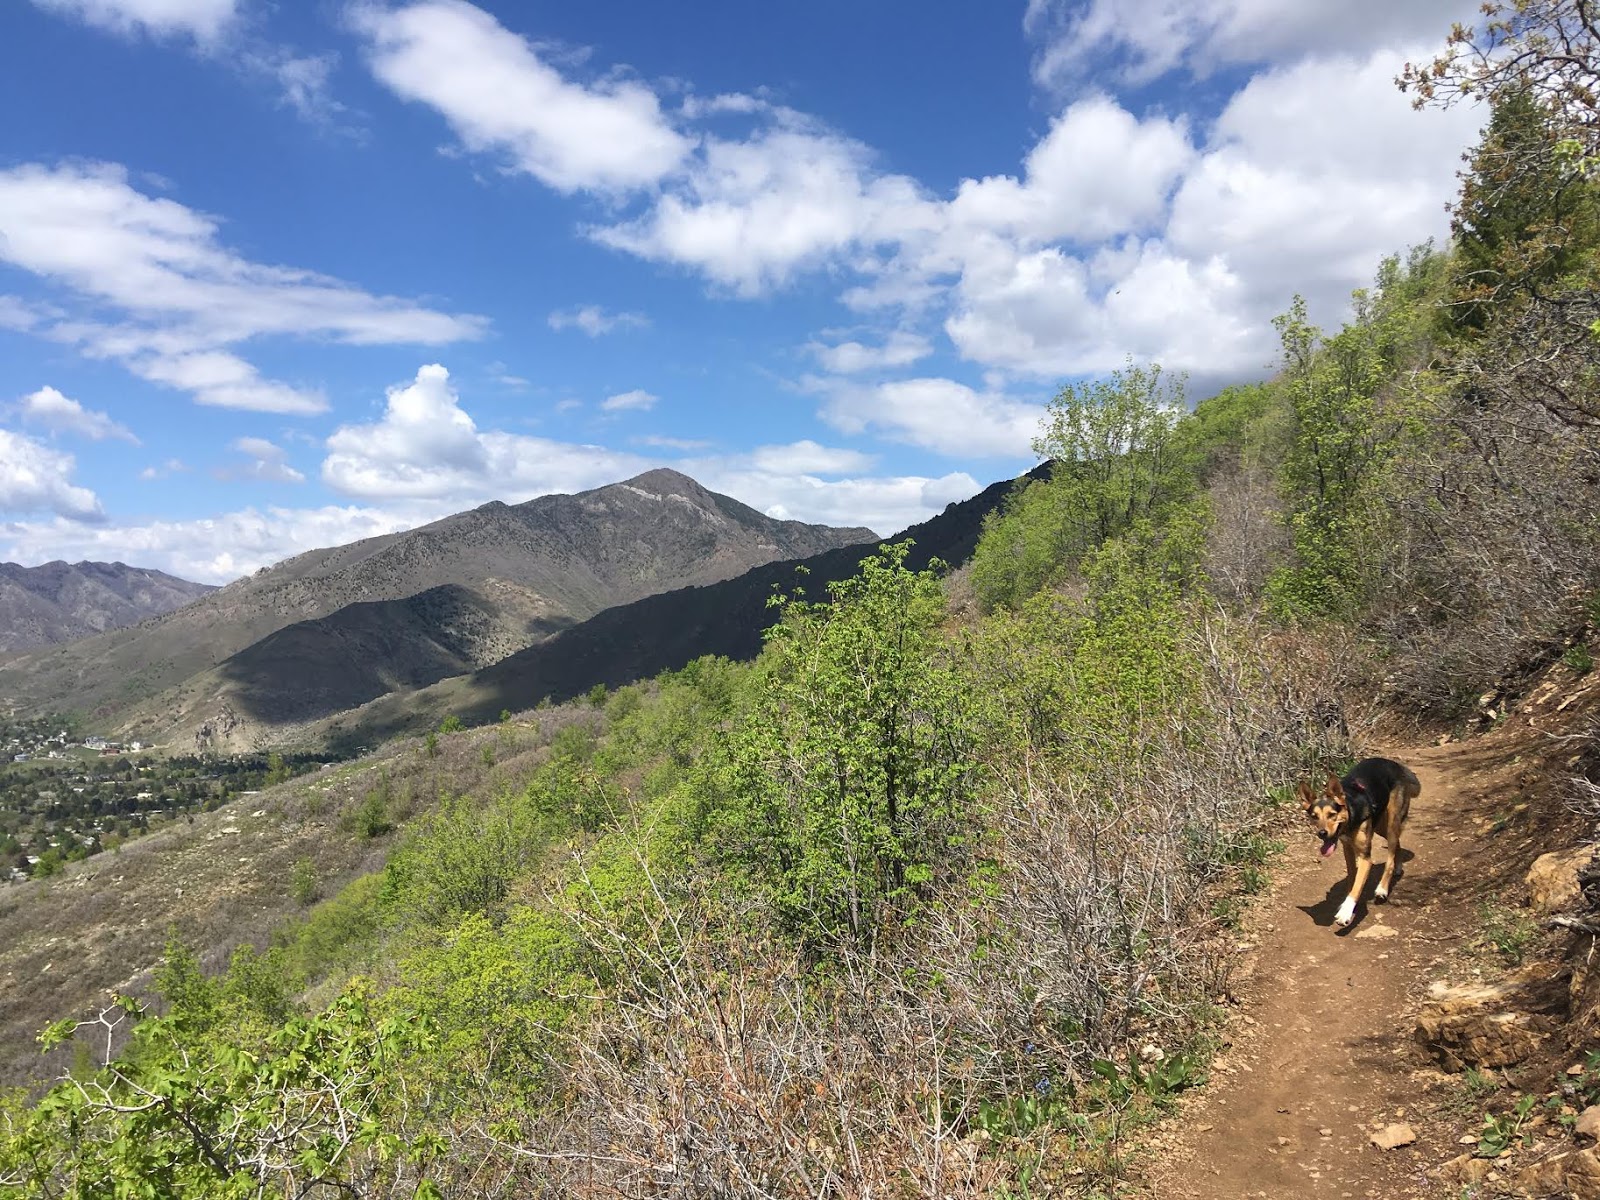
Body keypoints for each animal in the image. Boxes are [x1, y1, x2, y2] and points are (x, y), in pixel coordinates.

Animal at [1299, 755, 1427, 934]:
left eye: (1332, 814)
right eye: (1314, 816)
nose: (1322, 833)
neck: (1351, 814)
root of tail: (1393, 763)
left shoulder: (1365, 857)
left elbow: (1358, 884)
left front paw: (1346, 912)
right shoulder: (1347, 848)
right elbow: (1352, 877)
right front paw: (1347, 903)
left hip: (1392, 822)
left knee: (1390, 857)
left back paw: (1383, 888)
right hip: (1380, 826)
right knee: (1397, 844)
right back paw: (1398, 866)